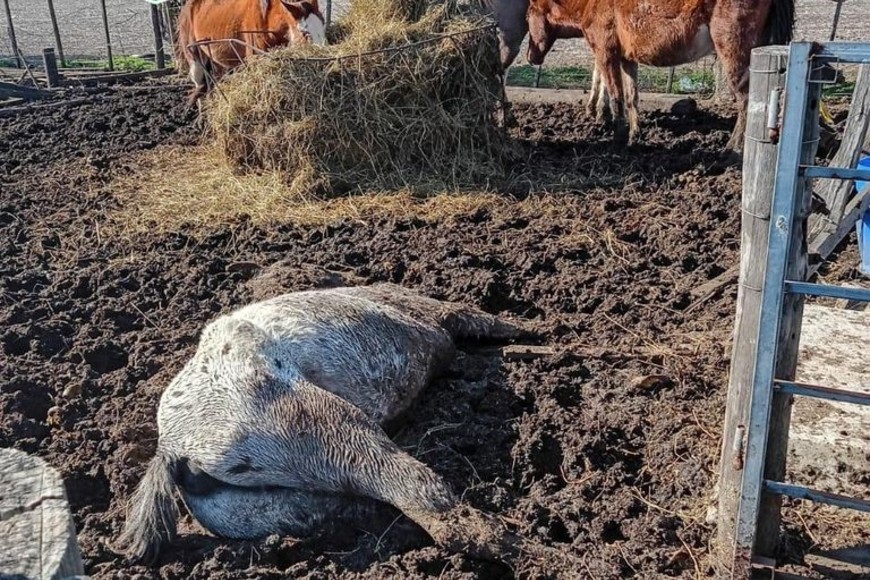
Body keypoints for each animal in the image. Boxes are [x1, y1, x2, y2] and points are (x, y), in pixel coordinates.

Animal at [117, 284, 579, 568]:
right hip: (323, 426)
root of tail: (172, 448)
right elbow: (481, 318)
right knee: (430, 503)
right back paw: (559, 559)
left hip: (253, 512)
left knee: (361, 507)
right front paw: (549, 331)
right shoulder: (434, 314)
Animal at [526, 0, 795, 150]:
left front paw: (616, 136)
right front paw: (634, 136)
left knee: (747, 100)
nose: (530, 57)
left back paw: (732, 149)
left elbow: (615, 95)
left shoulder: (605, 53)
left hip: (733, 50)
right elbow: (632, 98)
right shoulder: (627, 58)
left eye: (528, 15)